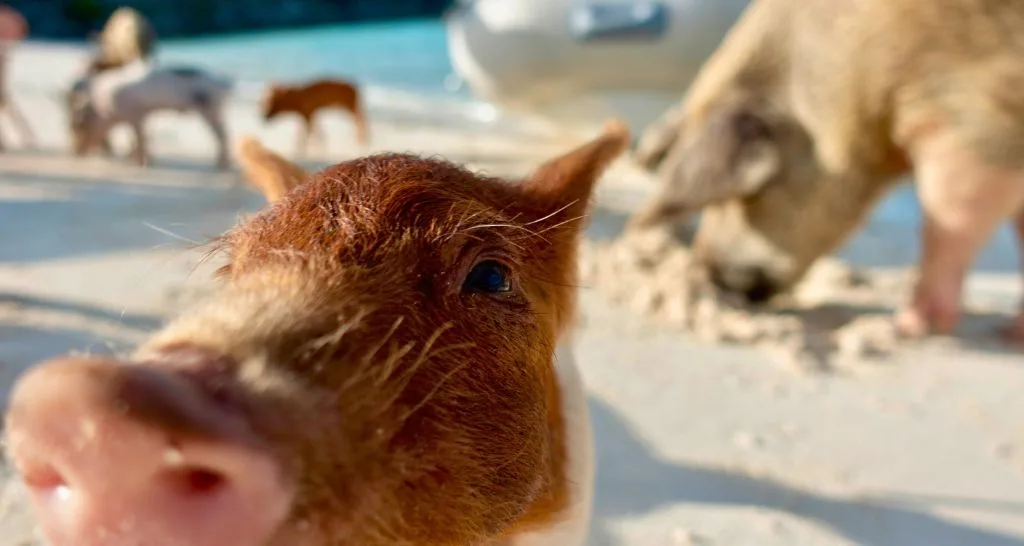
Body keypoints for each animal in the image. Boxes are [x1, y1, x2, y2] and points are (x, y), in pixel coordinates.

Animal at [629, 0, 1024, 340]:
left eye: (747, 193)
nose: (710, 272)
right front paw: (1010, 335)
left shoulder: (974, 120)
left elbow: (947, 222)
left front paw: (909, 327)